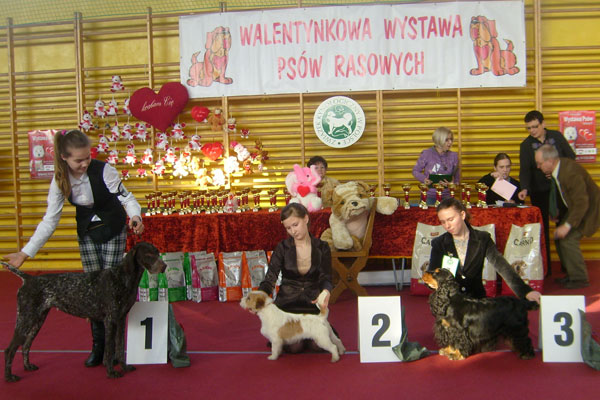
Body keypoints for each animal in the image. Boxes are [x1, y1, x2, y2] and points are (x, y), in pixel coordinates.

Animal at [3, 241, 166, 382]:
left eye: (158, 253)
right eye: (148, 255)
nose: (164, 266)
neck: (123, 277)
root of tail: (28, 279)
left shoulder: (120, 320)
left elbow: (120, 347)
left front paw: (124, 367)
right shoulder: (110, 320)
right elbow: (110, 348)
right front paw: (111, 372)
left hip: (37, 320)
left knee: (26, 345)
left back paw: (27, 366)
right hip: (25, 318)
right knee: (10, 349)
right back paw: (9, 377)